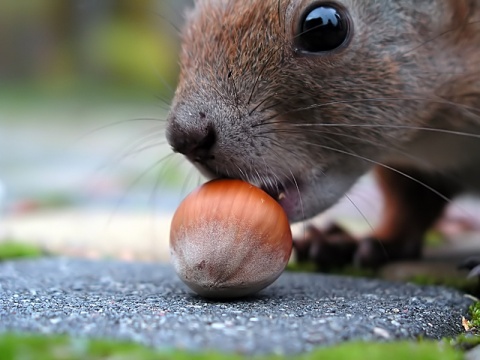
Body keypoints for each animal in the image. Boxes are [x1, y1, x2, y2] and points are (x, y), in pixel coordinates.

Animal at [166, 0, 480, 268]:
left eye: (324, 28)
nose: (184, 137)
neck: (430, 136)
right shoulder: (407, 167)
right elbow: (408, 205)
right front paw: (362, 242)